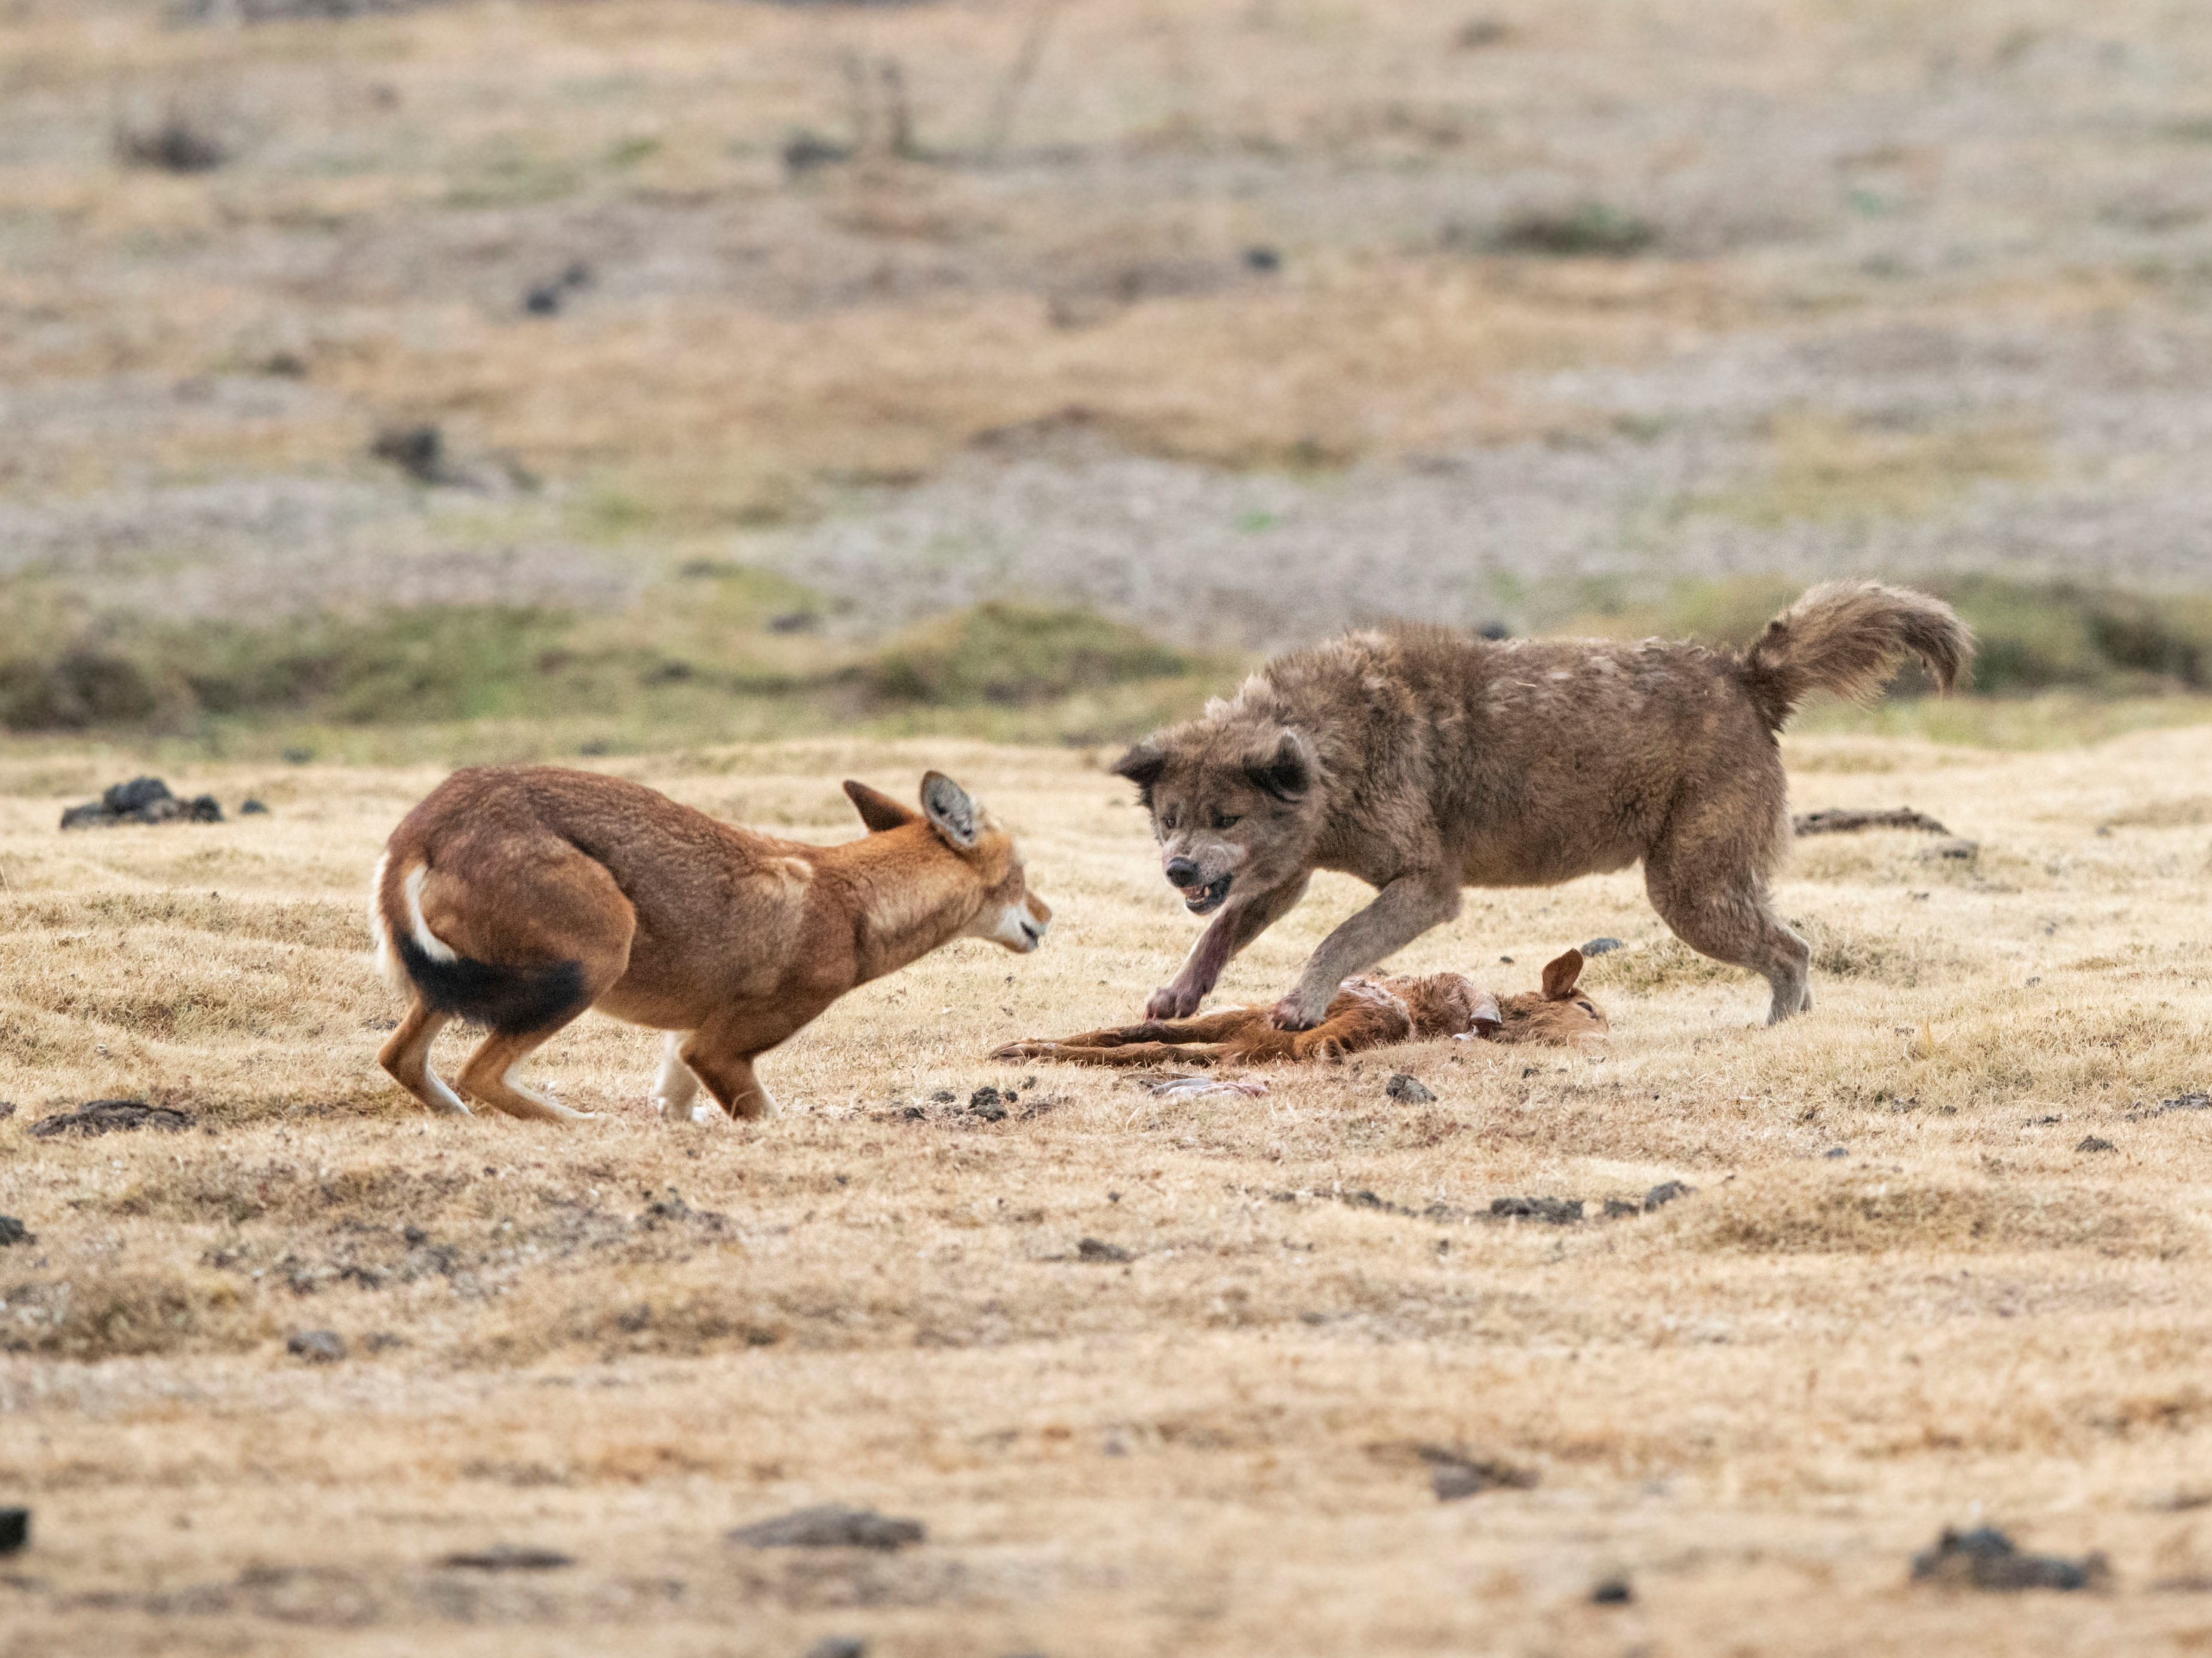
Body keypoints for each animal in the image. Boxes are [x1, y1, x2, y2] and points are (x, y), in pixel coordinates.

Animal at [369, 773, 1044, 1122]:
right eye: (1021, 873)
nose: (1047, 916)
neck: (852, 902)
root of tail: (426, 822)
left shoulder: (684, 1049)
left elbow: (675, 1105)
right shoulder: (716, 1050)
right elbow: (768, 1116)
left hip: (450, 991)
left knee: (402, 1060)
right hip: (594, 962)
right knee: (479, 1073)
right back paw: (588, 1125)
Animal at [1114, 579, 1964, 1026]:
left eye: (1225, 816)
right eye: (1170, 819)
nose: (1178, 869)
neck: (1335, 742)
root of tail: (1746, 675)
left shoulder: (1426, 885)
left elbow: (1338, 939)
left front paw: (1300, 1003)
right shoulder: (1286, 872)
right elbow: (1220, 931)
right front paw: (1178, 993)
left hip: (1689, 891)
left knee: (1792, 950)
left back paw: (1778, 1027)